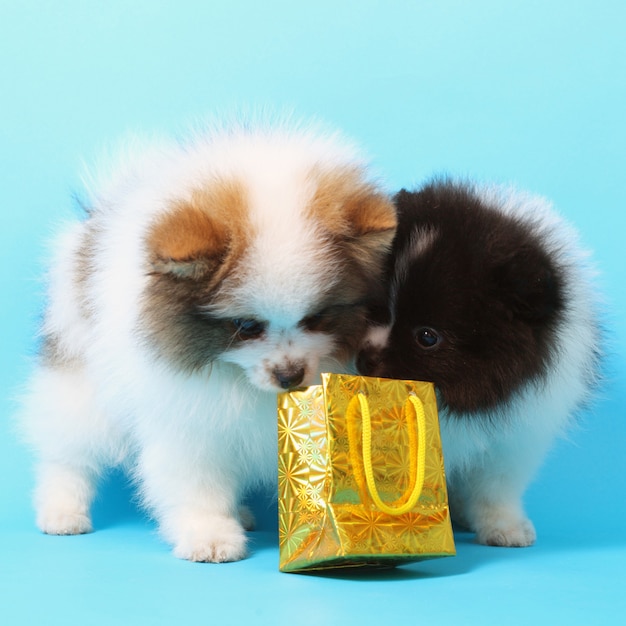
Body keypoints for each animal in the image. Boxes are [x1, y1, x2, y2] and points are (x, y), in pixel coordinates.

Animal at [18, 118, 394, 560]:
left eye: (317, 318)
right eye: (246, 326)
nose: (289, 376)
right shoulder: (187, 419)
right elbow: (195, 481)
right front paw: (209, 535)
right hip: (80, 379)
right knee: (67, 452)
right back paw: (62, 511)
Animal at [356, 178, 600, 544]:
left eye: (427, 336)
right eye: (374, 309)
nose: (364, 359)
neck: (453, 396)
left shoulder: (511, 441)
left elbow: (495, 487)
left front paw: (504, 526)